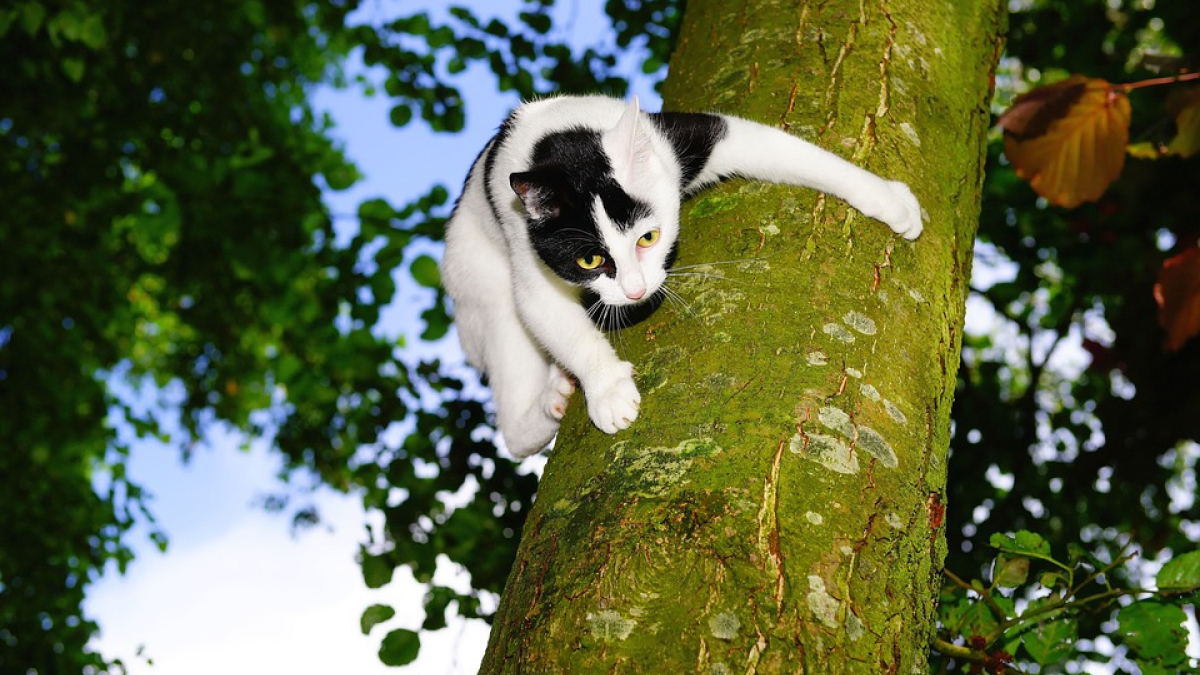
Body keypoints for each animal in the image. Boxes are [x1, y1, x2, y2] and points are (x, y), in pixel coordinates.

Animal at [441, 94, 916, 456]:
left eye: (648, 237)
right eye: (590, 262)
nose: (635, 291)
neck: (561, 136)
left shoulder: (682, 140)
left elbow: (789, 150)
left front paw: (891, 200)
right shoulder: (526, 244)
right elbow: (556, 319)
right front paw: (608, 390)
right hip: (479, 288)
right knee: (514, 426)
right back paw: (549, 404)